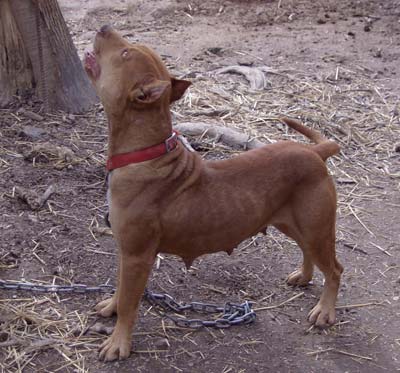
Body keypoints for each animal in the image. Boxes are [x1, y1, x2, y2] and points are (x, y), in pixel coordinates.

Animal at [84, 24, 344, 360]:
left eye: (125, 52)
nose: (105, 27)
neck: (145, 153)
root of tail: (314, 152)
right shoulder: (125, 251)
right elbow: (120, 287)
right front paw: (112, 307)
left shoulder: (137, 256)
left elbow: (130, 302)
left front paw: (119, 342)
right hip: (295, 223)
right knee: (309, 252)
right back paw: (303, 276)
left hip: (316, 227)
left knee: (335, 270)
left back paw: (325, 311)